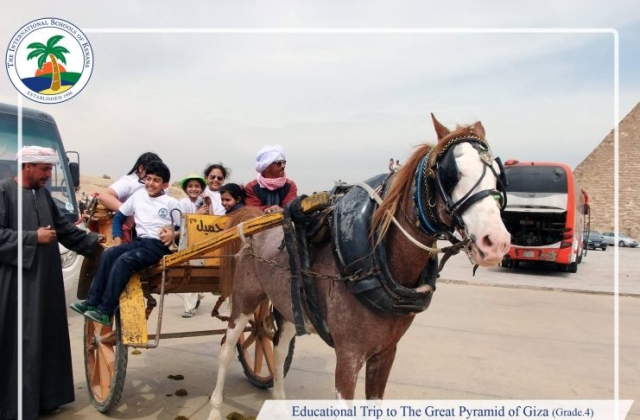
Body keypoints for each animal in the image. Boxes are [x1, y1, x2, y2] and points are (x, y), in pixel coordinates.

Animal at [205, 115, 510, 420]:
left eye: (497, 174)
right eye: (450, 173)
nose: (496, 242)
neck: (378, 264)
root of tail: (255, 218)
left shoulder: (386, 353)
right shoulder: (348, 356)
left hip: (289, 305)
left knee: (278, 350)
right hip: (245, 299)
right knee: (226, 349)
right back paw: (215, 408)